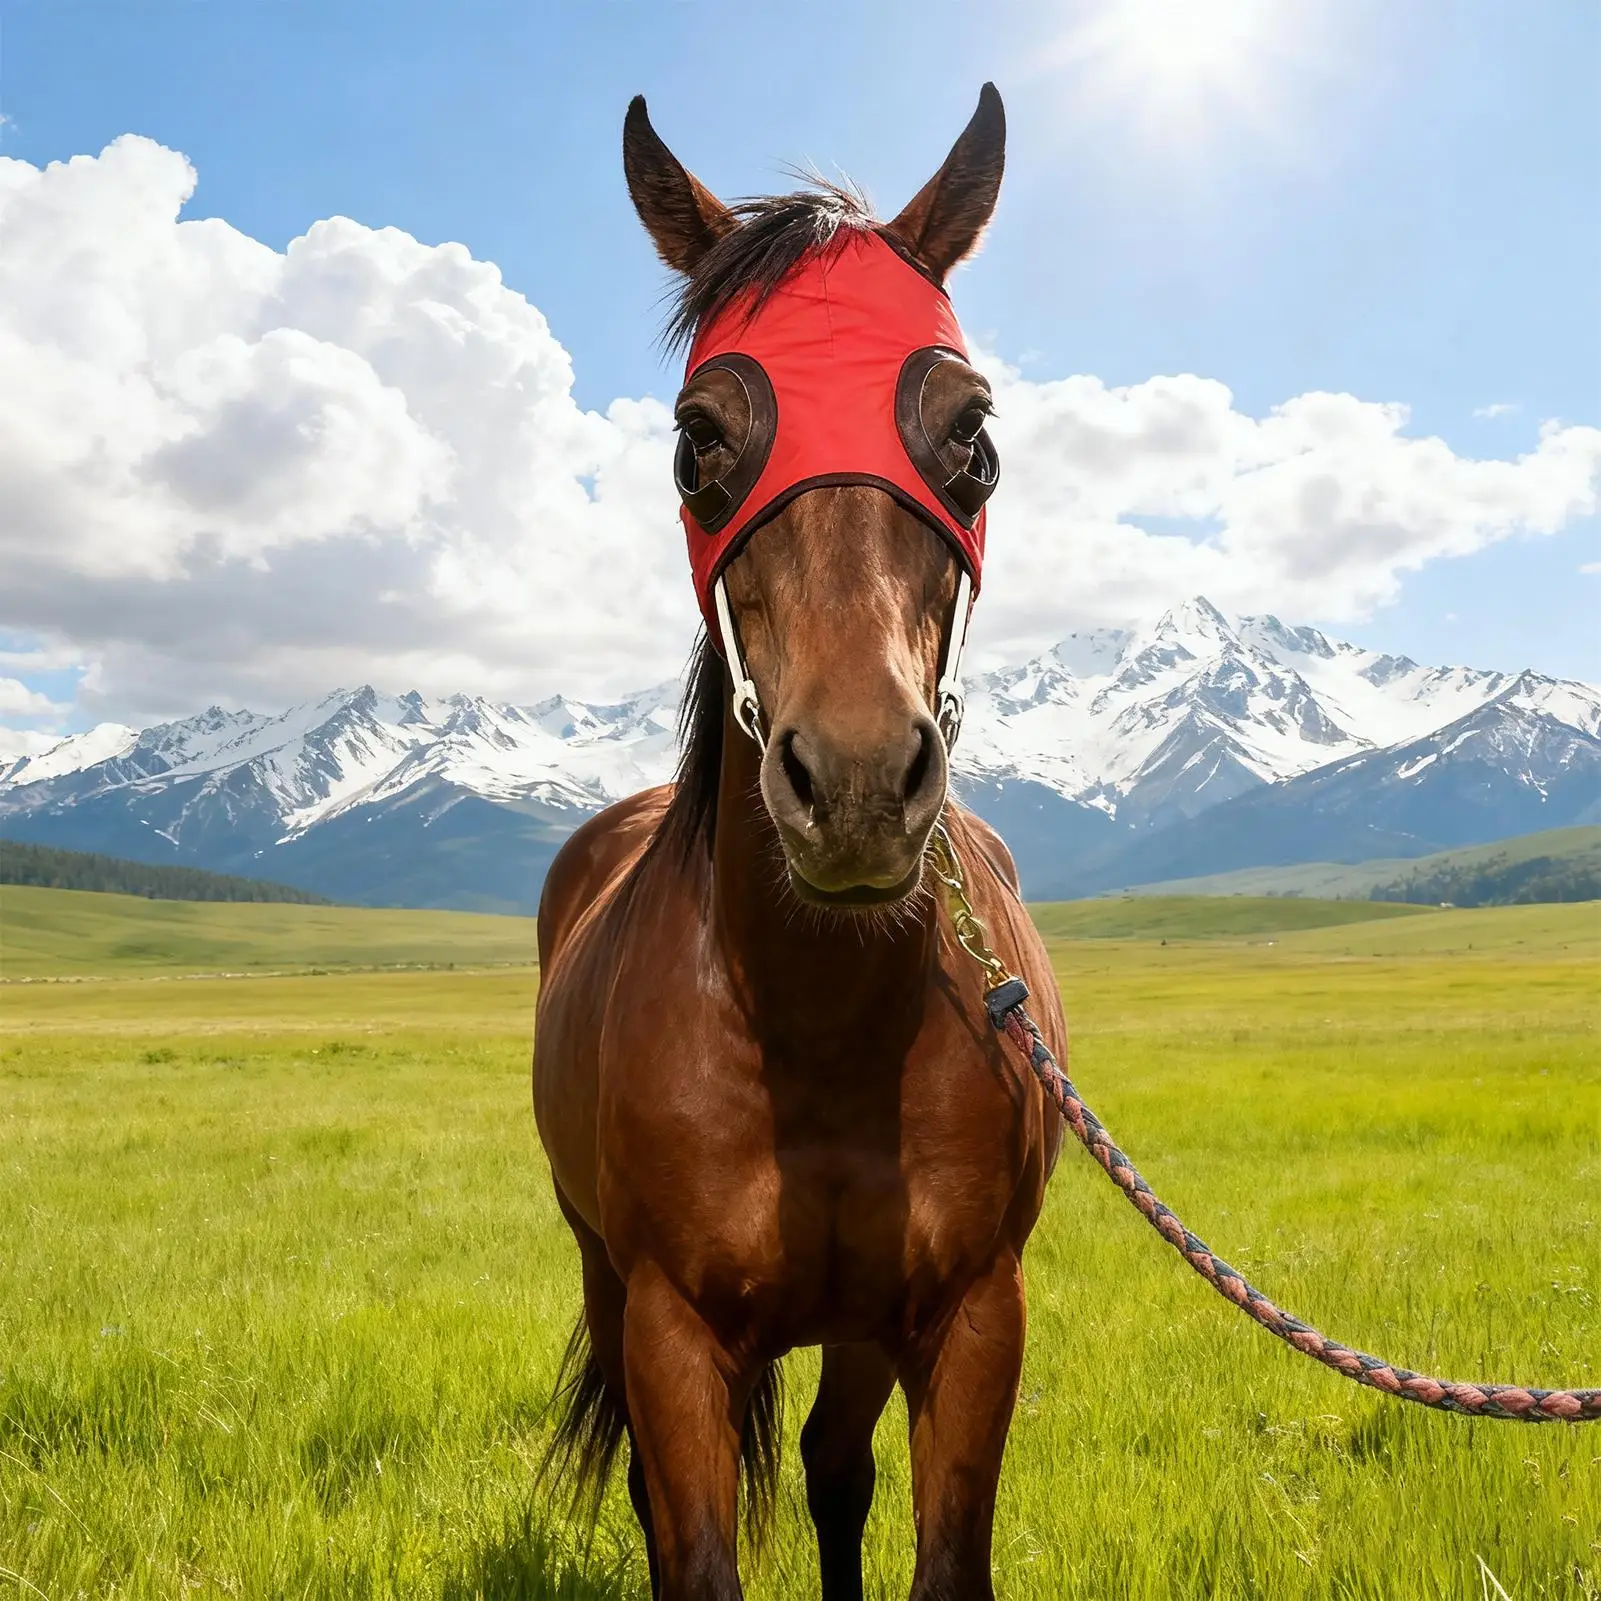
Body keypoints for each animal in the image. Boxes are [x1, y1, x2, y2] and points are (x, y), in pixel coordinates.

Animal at [533, 84, 1065, 1601]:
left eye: (973, 437)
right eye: (695, 438)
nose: (860, 779)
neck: (817, 1021)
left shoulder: (967, 1317)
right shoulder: (667, 1328)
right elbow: (690, 1546)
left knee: (833, 1467)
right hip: (603, 1270)